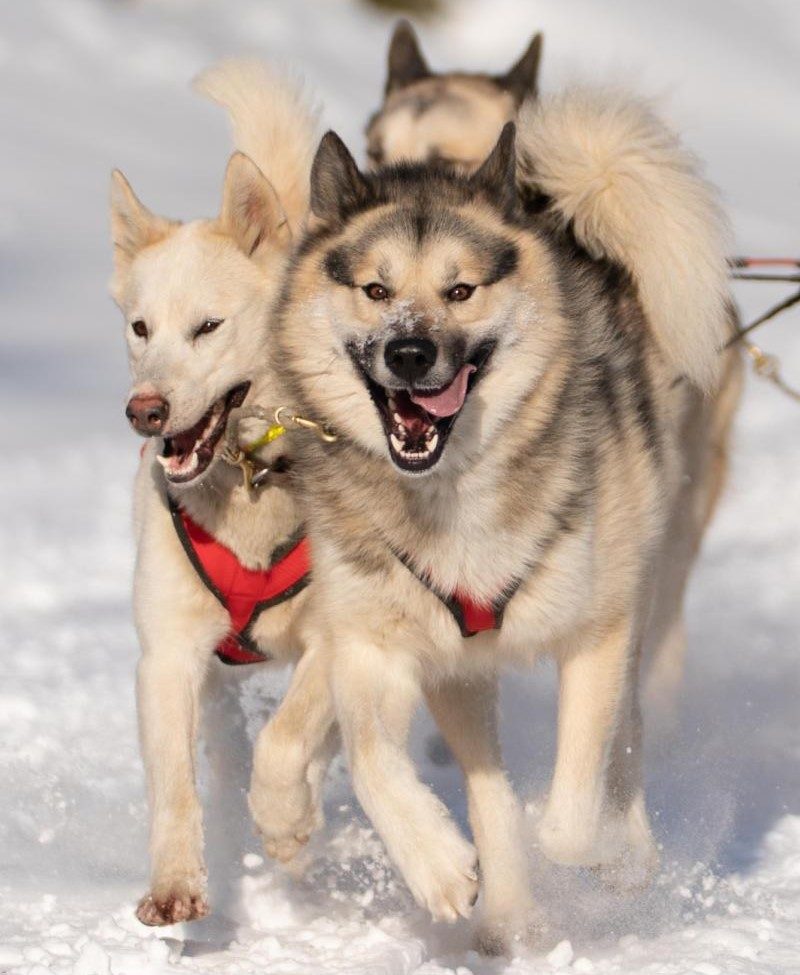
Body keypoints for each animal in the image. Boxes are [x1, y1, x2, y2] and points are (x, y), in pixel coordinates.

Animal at [109, 63, 334, 932]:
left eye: (208, 326)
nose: (145, 410)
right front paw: (176, 881)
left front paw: (286, 824)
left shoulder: (342, 638)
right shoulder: (167, 655)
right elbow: (174, 784)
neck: (251, 477)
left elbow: (291, 738)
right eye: (140, 327)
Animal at [260, 89, 740, 952]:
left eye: (461, 290)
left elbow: (572, 816)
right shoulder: (387, 647)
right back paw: (509, 909)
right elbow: (378, 761)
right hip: (466, 674)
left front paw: (596, 846)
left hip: (640, 588)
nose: (410, 353)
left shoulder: (597, 634)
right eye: (376, 290)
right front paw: (439, 866)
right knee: (486, 784)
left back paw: (625, 853)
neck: (450, 496)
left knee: (626, 739)